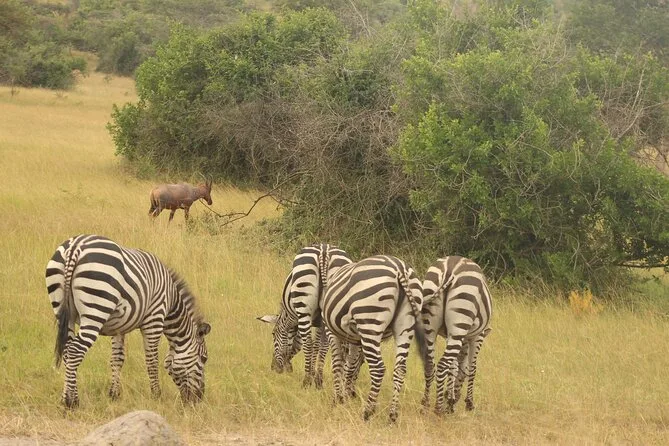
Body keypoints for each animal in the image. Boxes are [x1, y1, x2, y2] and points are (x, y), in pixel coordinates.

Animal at [45, 234, 211, 408]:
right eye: (204, 358)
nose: (198, 399)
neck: (171, 300)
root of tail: (75, 246)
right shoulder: (154, 318)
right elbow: (152, 360)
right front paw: (156, 395)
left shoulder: (118, 327)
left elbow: (117, 359)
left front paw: (114, 394)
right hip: (96, 308)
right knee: (75, 350)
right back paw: (71, 402)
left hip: (63, 310)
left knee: (67, 350)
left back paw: (67, 397)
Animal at [257, 243, 352, 388]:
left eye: (273, 334)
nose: (274, 368)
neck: (288, 315)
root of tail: (324, 251)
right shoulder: (320, 322)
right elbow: (318, 345)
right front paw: (315, 376)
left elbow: (301, 342)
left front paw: (309, 374)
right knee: (324, 346)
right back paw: (318, 381)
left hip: (303, 302)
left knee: (308, 342)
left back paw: (306, 381)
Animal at [322, 255, 428, 422]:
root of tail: (400, 268)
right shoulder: (355, 339)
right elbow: (350, 367)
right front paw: (345, 395)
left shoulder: (332, 332)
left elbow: (338, 364)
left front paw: (338, 398)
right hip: (406, 325)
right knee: (400, 369)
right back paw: (392, 415)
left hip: (370, 320)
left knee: (378, 368)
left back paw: (367, 412)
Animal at [420, 256, 493, 414]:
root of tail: (449, 269)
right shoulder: (477, 336)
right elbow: (471, 368)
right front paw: (467, 403)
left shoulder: (452, 336)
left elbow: (454, 367)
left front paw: (450, 398)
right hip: (461, 315)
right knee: (442, 365)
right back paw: (438, 409)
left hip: (430, 328)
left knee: (430, 365)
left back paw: (425, 405)